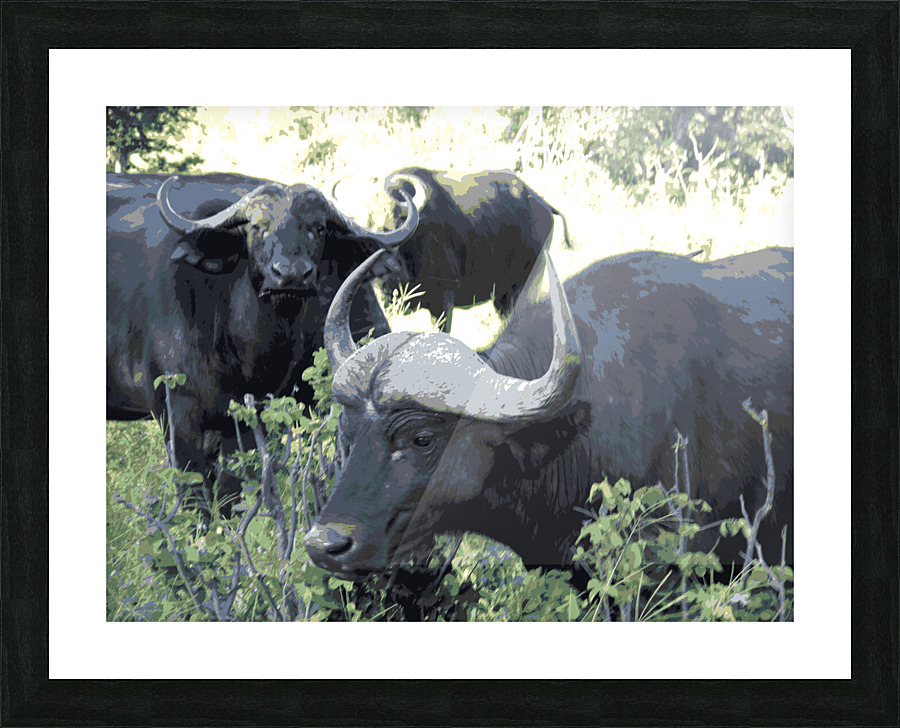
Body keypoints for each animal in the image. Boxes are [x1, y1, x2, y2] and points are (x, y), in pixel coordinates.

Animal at [107, 172, 418, 508]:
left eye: (318, 228)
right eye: (257, 227)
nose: (291, 274)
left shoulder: (247, 422)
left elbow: (232, 495)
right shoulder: (176, 414)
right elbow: (194, 496)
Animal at [376, 167, 571, 332]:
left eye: (399, 216)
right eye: (372, 218)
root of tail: (541, 202)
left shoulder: (443, 301)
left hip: (525, 282)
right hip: (502, 294)